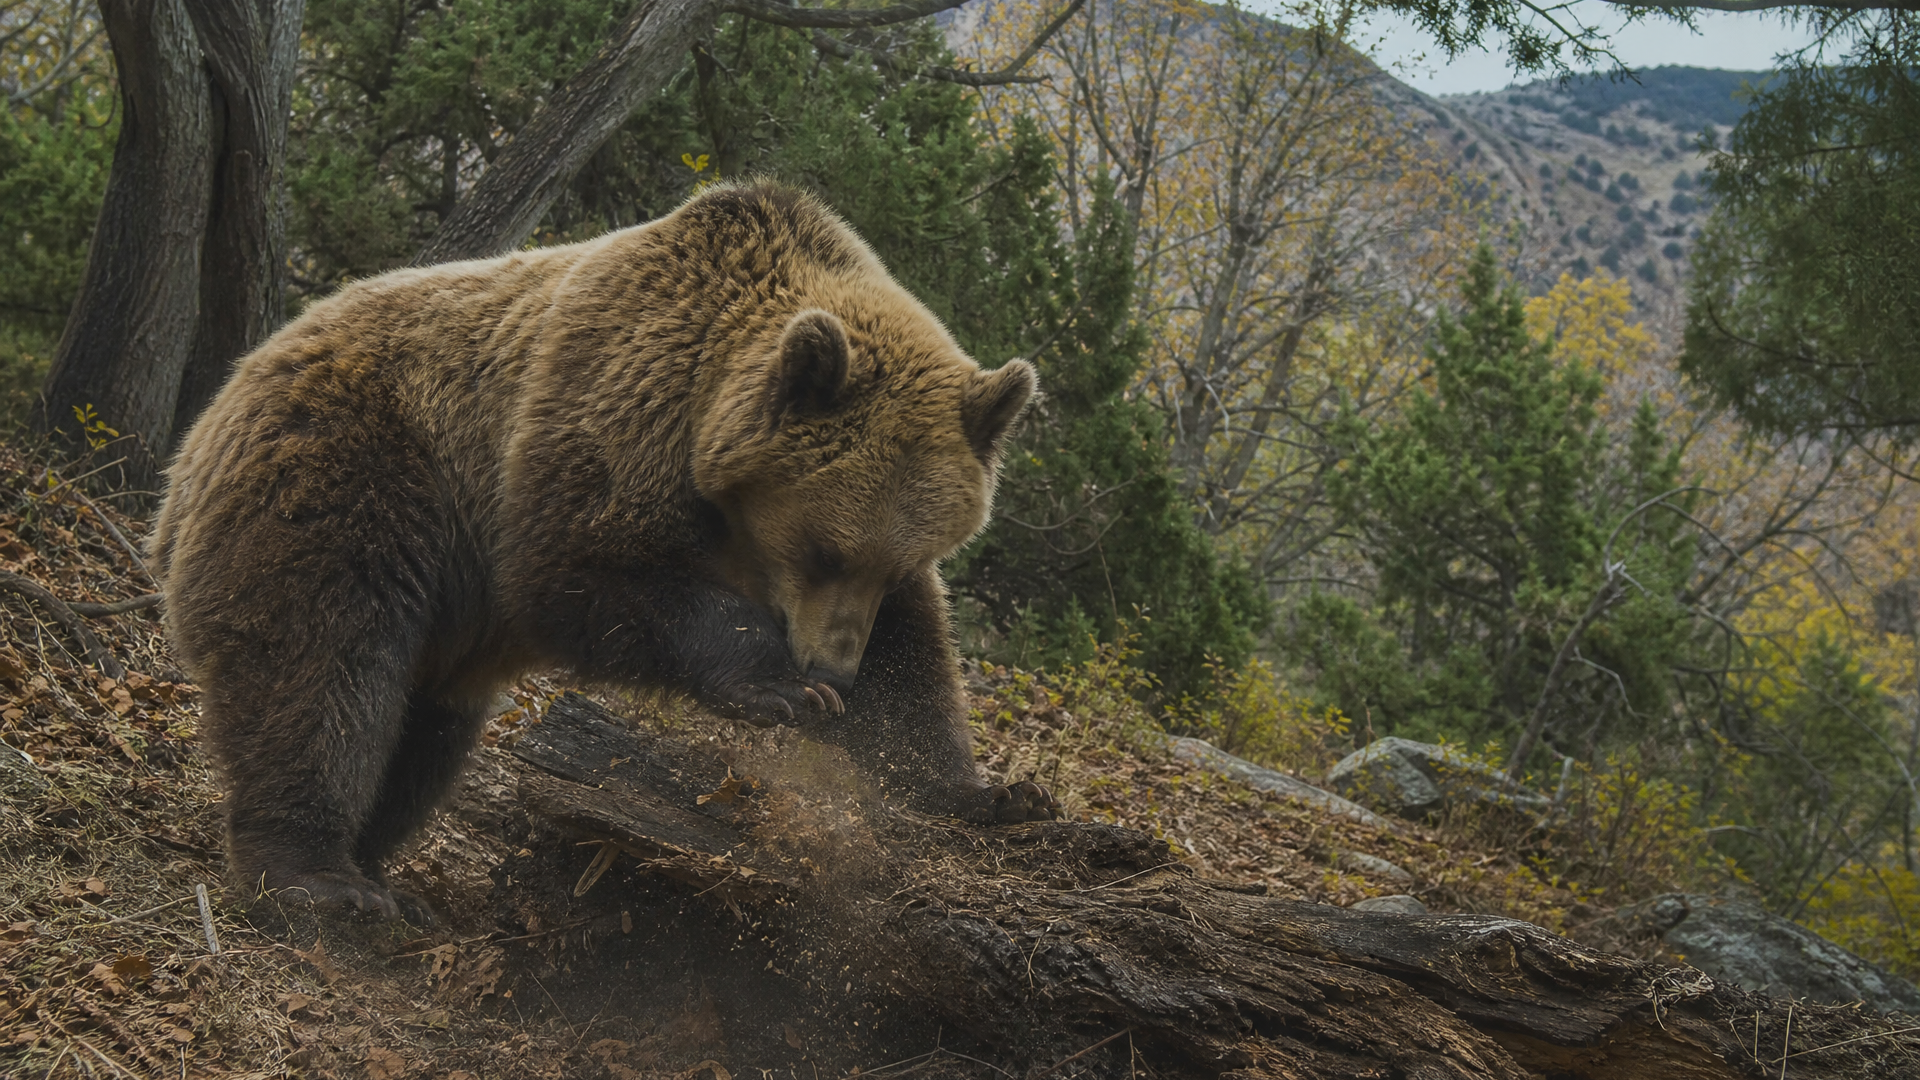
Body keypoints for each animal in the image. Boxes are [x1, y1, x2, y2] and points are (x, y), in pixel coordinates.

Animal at [152, 181, 1058, 923]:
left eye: (896, 560)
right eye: (822, 550)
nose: (832, 669)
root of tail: (234, 381)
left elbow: (914, 664)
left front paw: (994, 791)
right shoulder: (603, 417)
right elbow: (578, 576)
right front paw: (778, 688)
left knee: (428, 727)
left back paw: (377, 866)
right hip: (362, 466)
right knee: (322, 657)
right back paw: (318, 876)